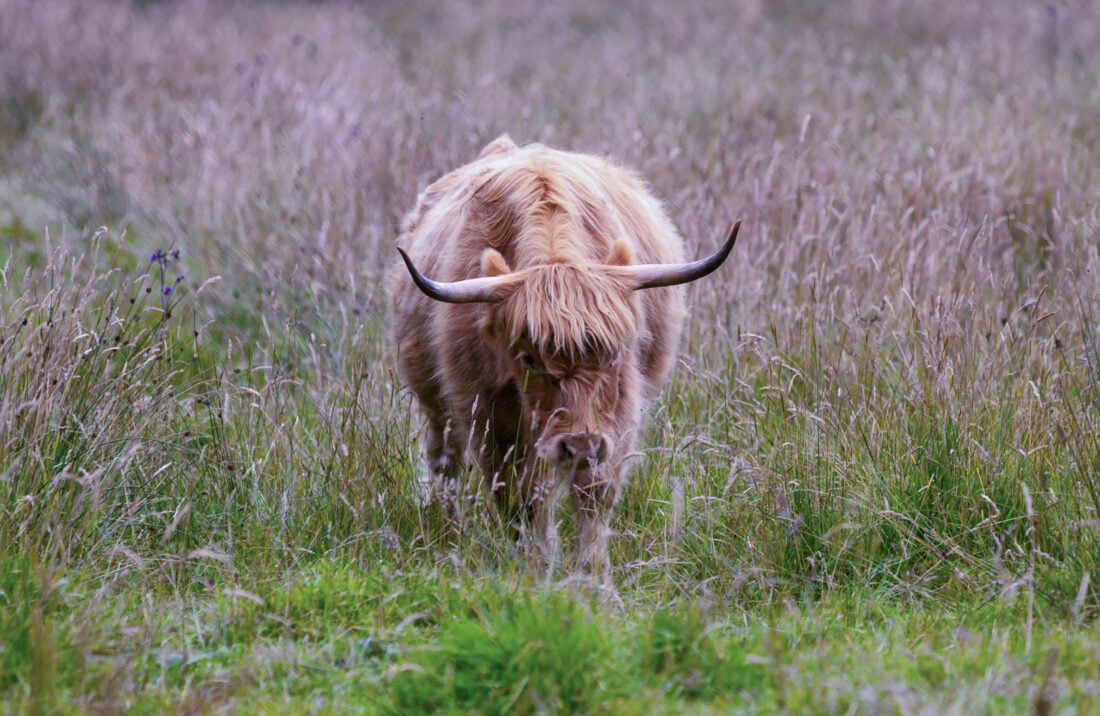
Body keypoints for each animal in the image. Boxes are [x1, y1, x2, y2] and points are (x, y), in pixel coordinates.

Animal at [388, 135, 738, 578]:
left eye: (612, 356)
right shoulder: (487, 413)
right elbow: (519, 497)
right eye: (527, 358)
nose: (579, 445)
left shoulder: (617, 415)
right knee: (444, 462)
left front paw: (593, 573)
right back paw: (448, 529)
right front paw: (535, 567)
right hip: (433, 400)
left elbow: (595, 495)